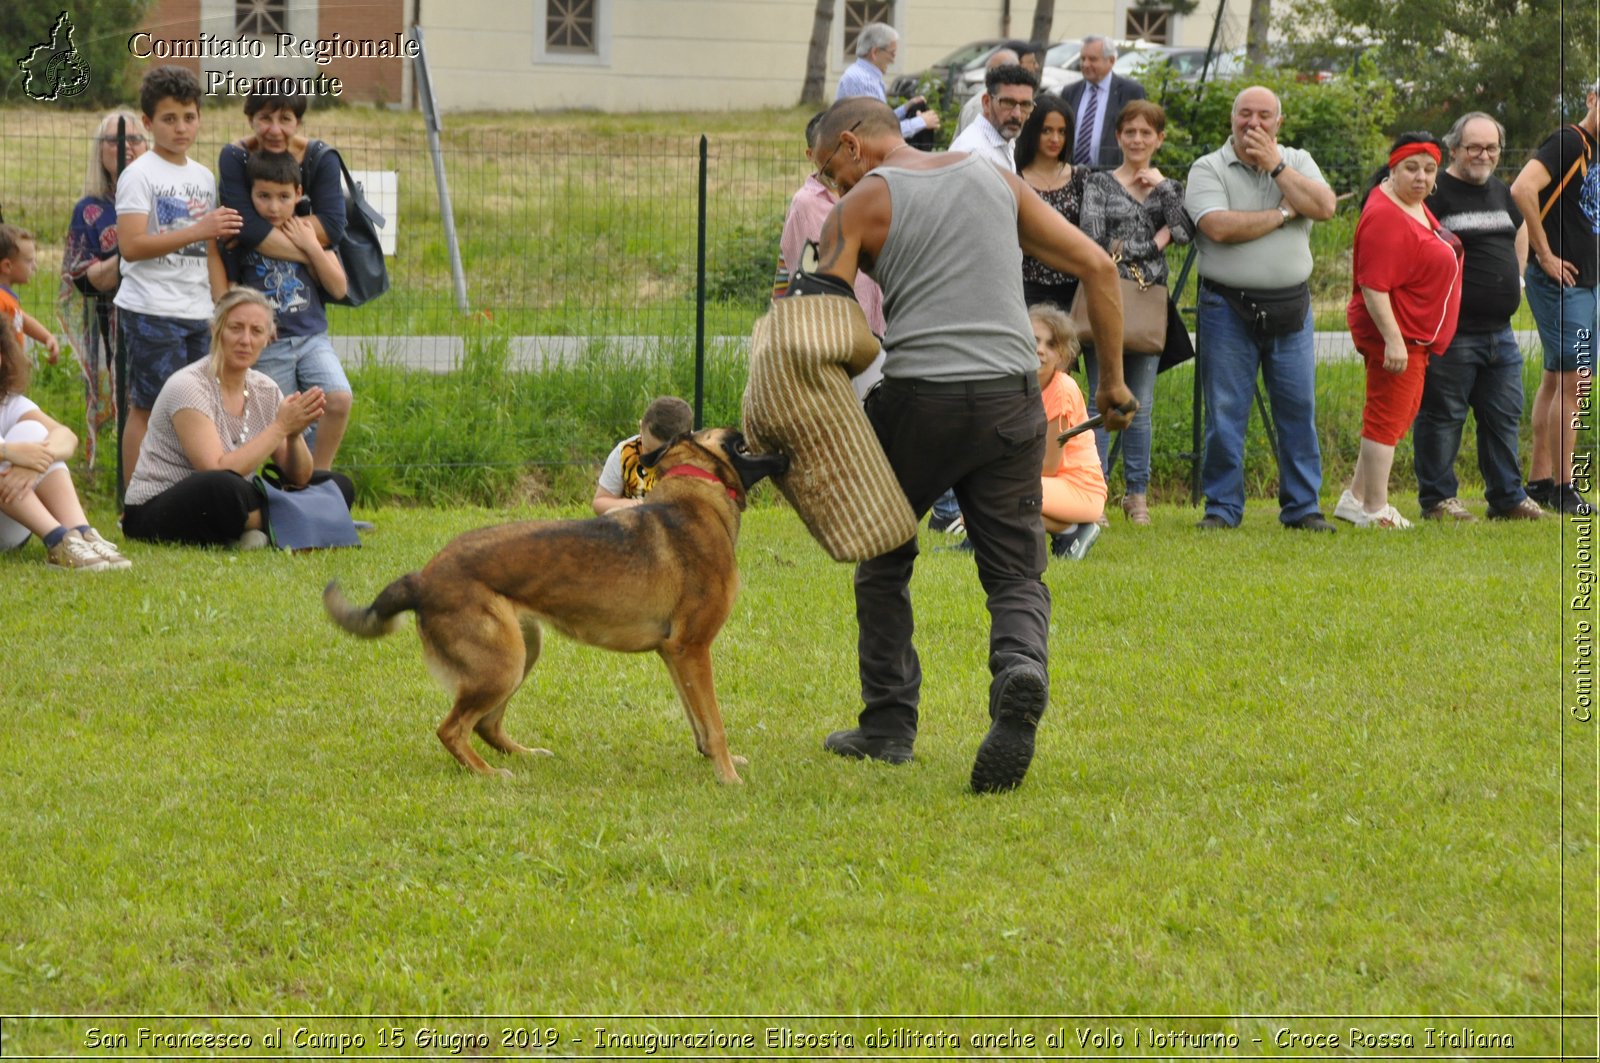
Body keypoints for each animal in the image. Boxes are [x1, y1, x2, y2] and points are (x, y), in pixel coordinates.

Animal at [326, 429, 793, 784]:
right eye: (739, 440)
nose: (782, 445)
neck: (696, 497)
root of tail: (422, 578)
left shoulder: (675, 654)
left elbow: (698, 722)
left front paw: (712, 761)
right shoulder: (692, 650)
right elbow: (714, 723)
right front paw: (728, 775)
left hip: (522, 651)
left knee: (485, 724)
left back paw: (523, 754)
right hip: (503, 664)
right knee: (452, 729)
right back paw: (489, 774)